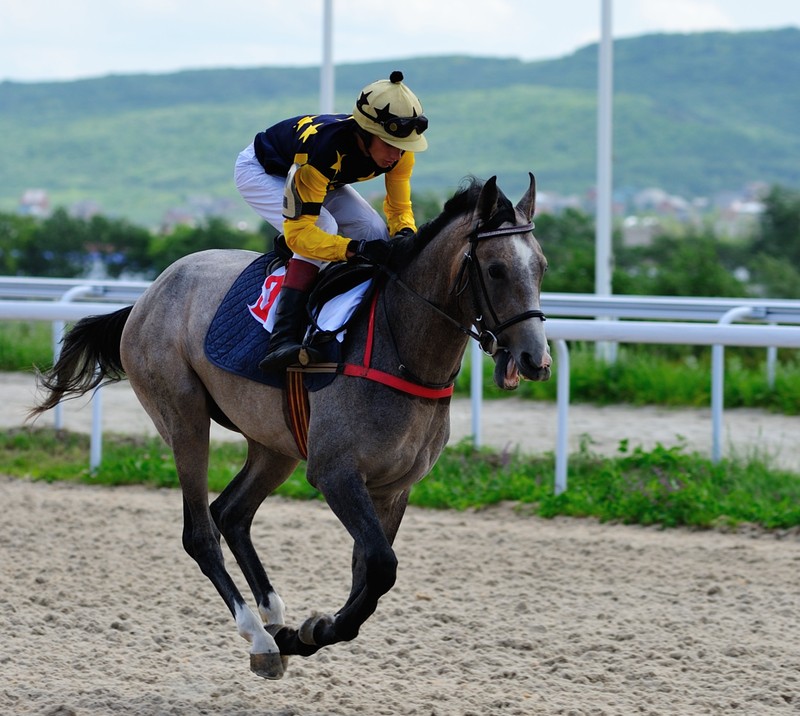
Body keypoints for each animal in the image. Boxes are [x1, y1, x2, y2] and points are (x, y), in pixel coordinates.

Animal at [29, 172, 552, 676]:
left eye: (541, 266)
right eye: (496, 268)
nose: (535, 359)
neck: (402, 351)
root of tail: (148, 295)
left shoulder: (394, 487)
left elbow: (368, 573)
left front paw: (303, 632)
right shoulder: (336, 473)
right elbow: (381, 565)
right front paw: (310, 632)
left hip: (274, 442)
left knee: (232, 512)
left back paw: (273, 616)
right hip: (183, 417)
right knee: (201, 532)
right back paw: (259, 636)